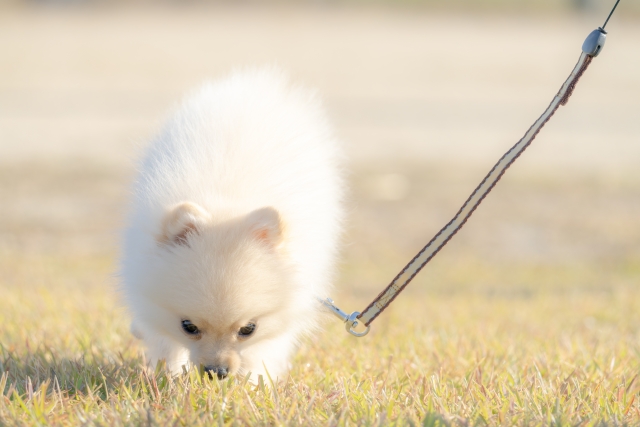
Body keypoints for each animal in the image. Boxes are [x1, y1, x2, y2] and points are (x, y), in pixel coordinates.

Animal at [118, 68, 342, 382]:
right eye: (189, 327)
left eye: (248, 329)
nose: (217, 371)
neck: (227, 204)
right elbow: (163, 341)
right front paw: (167, 376)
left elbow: (263, 351)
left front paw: (255, 383)